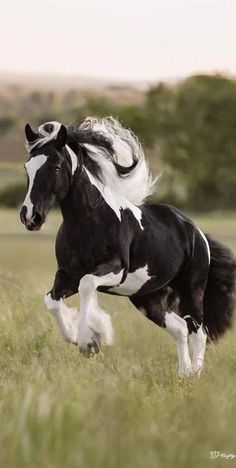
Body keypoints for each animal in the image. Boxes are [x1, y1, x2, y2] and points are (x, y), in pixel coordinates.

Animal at [19, 116, 234, 376]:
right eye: (27, 168)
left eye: (56, 168)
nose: (30, 217)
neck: (88, 222)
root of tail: (197, 232)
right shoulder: (67, 274)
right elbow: (51, 301)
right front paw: (81, 336)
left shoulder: (115, 269)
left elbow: (87, 285)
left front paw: (90, 341)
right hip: (147, 297)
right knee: (179, 328)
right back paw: (183, 374)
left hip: (192, 289)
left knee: (198, 331)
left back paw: (194, 375)